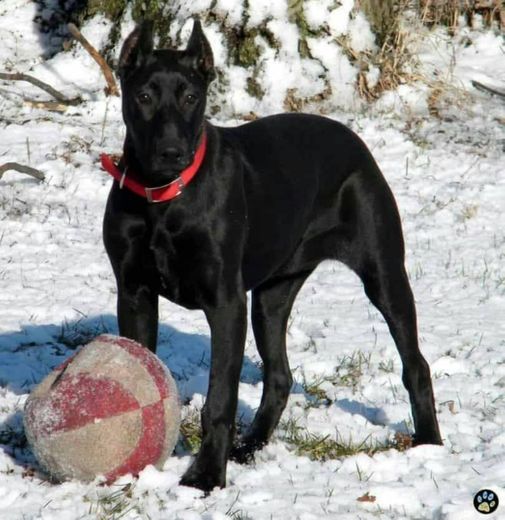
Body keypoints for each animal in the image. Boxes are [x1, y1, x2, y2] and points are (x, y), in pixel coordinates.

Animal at [102, 19, 440, 492]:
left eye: (190, 97)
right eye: (143, 97)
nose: (171, 152)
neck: (165, 198)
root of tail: (352, 138)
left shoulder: (225, 304)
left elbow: (220, 399)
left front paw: (206, 476)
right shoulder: (134, 293)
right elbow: (142, 366)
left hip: (384, 275)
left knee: (416, 364)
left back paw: (429, 442)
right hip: (271, 296)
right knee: (280, 375)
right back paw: (249, 446)